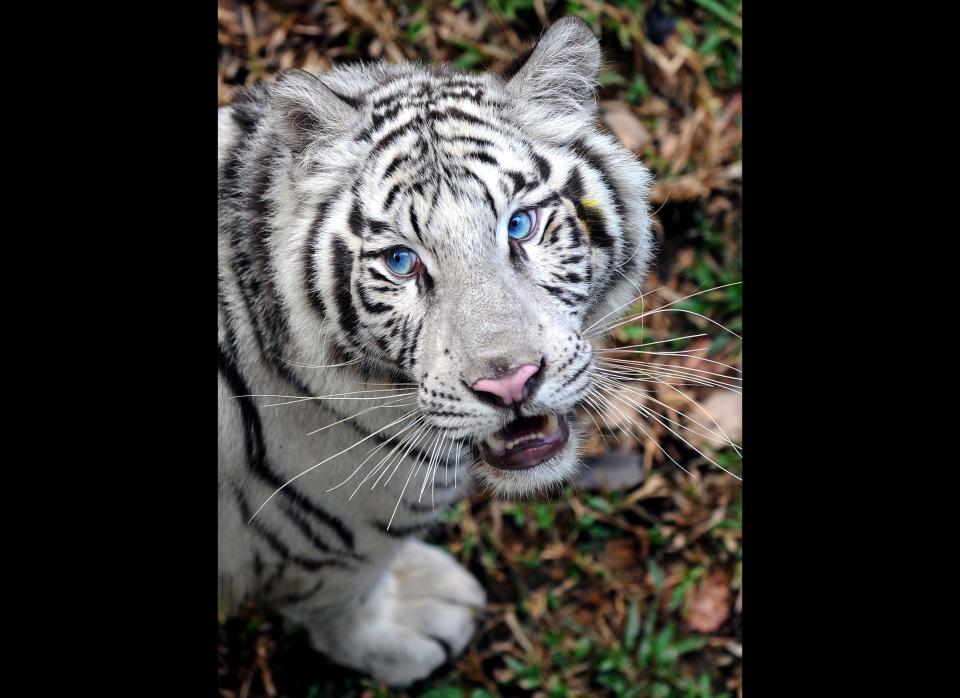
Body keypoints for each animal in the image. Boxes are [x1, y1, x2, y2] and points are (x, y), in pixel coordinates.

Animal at [218, 17, 652, 684]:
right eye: (402, 261)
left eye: (520, 225)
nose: (509, 383)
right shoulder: (335, 541)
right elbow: (346, 602)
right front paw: (412, 625)